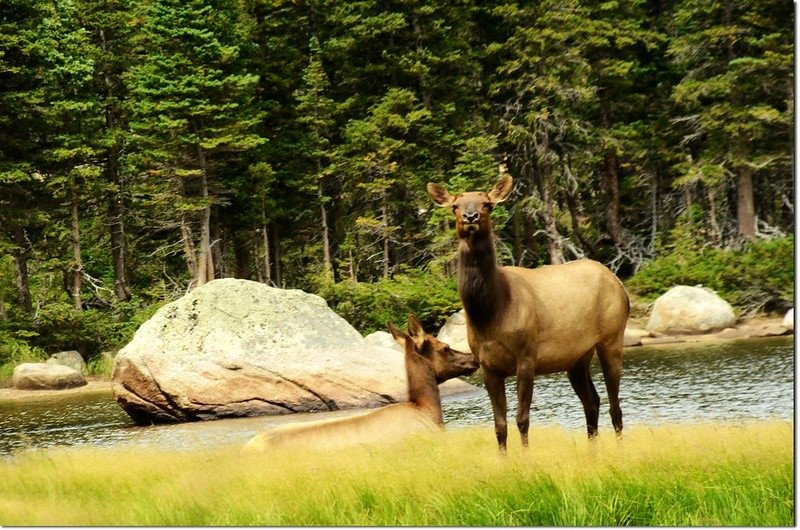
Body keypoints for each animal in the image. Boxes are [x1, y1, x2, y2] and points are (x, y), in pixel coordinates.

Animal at [428, 173, 628, 446]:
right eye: (455, 206)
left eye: (487, 204)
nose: (471, 217)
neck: (489, 312)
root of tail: (619, 284)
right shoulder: (488, 366)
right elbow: (499, 425)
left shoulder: (526, 356)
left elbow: (522, 419)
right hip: (577, 357)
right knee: (593, 402)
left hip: (612, 338)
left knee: (615, 406)